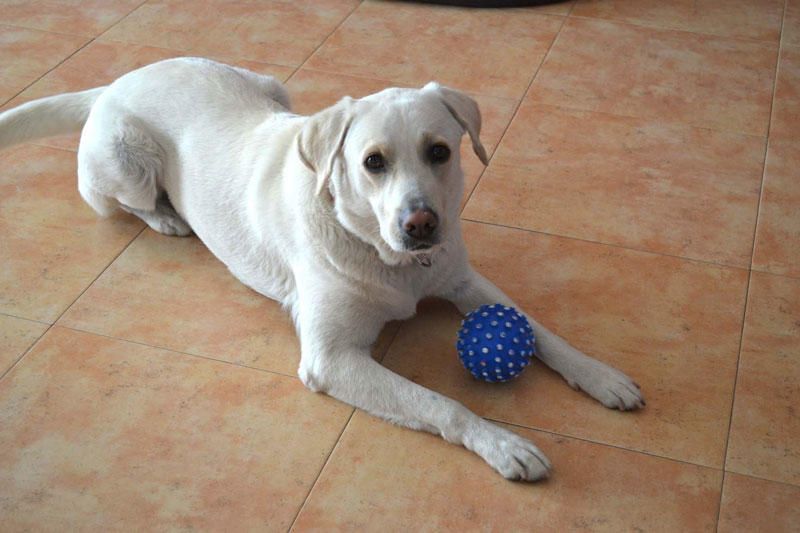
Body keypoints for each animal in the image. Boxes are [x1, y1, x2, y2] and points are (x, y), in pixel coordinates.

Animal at [0, 59, 640, 482]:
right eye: (373, 163)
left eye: (439, 151)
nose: (421, 225)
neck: (391, 261)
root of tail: (115, 81)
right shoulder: (331, 359)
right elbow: (441, 403)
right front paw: (503, 443)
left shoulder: (461, 280)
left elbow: (542, 332)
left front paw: (601, 376)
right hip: (125, 163)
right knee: (120, 201)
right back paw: (166, 217)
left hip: (270, 86)